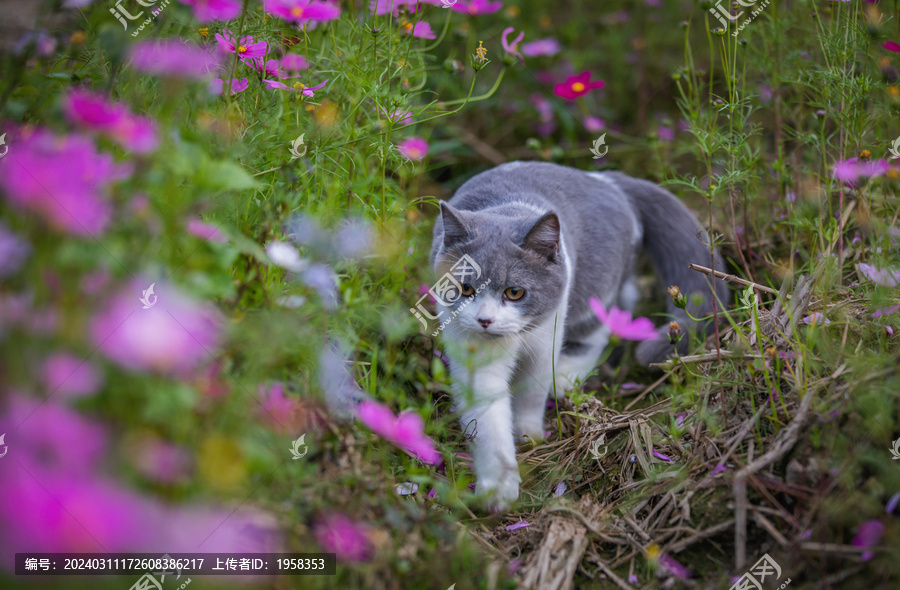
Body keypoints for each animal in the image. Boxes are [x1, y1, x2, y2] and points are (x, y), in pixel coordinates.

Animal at [430, 162, 732, 512]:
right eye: (465, 288)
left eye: (515, 292)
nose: (485, 320)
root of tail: (606, 178)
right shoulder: (471, 351)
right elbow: (487, 417)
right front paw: (498, 488)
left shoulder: (546, 334)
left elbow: (533, 390)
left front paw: (529, 433)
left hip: (597, 286)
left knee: (606, 325)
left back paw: (565, 377)